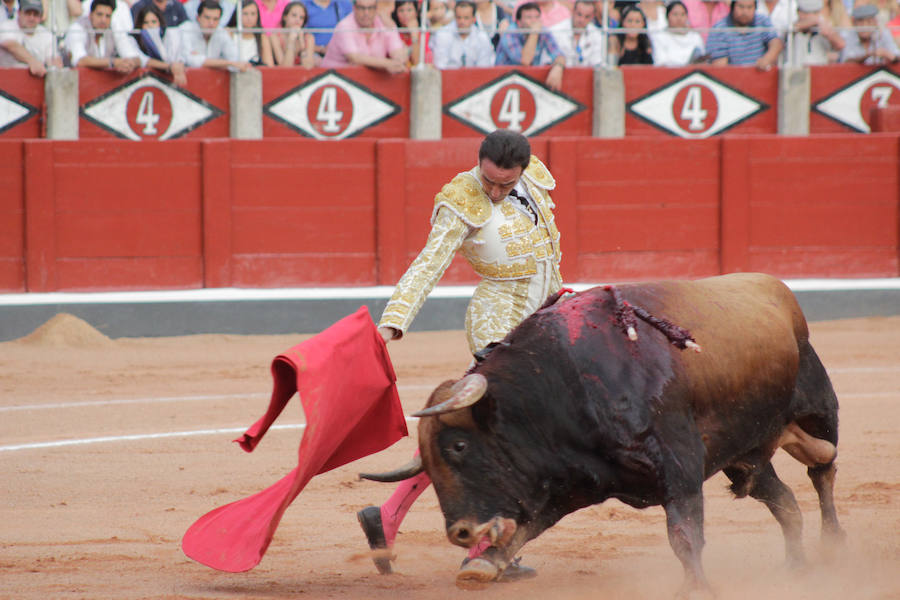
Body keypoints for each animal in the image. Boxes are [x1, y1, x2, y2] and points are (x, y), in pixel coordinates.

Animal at [364, 274, 844, 596]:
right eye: (427, 462)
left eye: (459, 446)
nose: (461, 532)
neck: (562, 383)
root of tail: (776, 288)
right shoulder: (567, 482)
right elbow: (525, 528)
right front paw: (481, 564)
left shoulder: (679, 467)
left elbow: (685, 534)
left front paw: (695, 588)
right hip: (745, 457)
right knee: (784, 502)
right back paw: (796, 567)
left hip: (818, 408)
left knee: (823, 467)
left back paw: (832, 545)